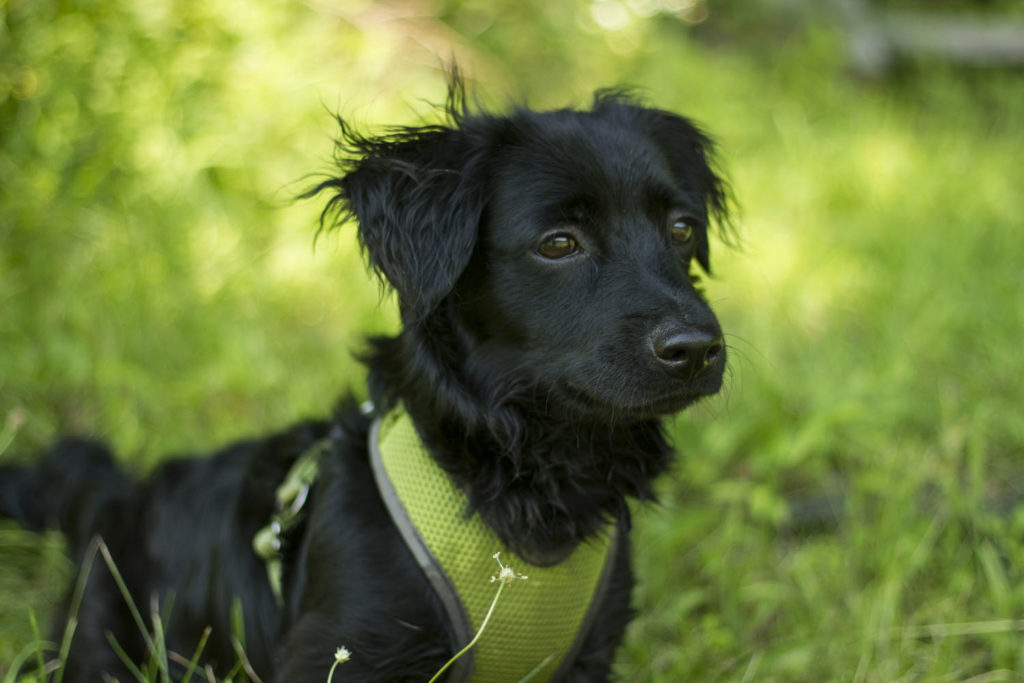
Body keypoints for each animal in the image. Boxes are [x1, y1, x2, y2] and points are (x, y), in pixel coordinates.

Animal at [4, 77, 733, 679]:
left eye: (681, 228)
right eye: (559, 243)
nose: (699, 348)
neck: (535, 481)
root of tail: (114, 498)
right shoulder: (349, 650)